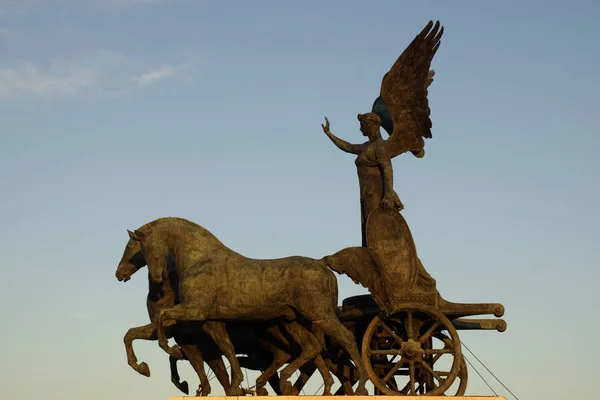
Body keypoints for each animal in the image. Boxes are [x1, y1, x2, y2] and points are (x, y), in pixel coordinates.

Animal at [125, 216, 370, 394]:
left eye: (146, 248)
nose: (157, 277)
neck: (199, 260)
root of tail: (322, 264)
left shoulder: (195, 311)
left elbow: (162, 319)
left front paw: (167, 352)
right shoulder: (211, 321)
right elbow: (226, 349)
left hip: (320, 316)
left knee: (346, 341)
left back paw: (361, 386)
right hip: (294, 322)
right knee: (311, 349)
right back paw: (293, 382)